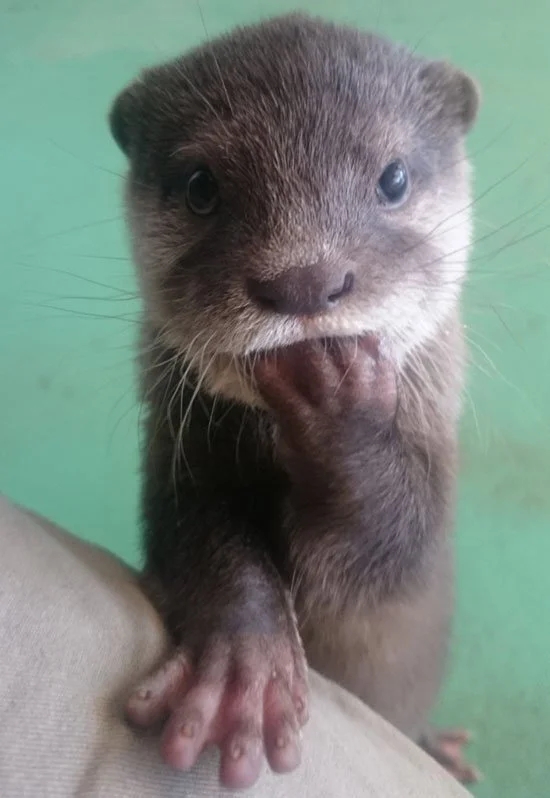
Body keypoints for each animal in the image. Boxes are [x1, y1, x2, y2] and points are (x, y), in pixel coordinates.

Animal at [110, 10, 480, 788]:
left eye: (393, 178)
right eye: (201, 186)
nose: (305, 281)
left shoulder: (424, 491)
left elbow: (383, 548)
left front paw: (344, 415)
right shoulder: (179, 453)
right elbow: (199, 539)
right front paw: (242, 669)